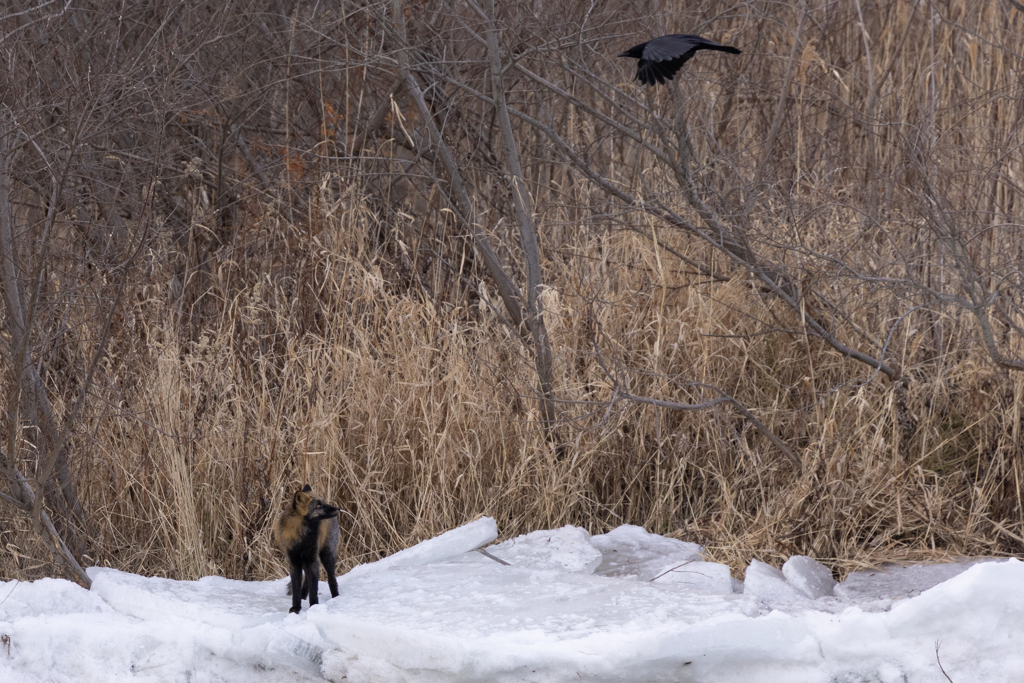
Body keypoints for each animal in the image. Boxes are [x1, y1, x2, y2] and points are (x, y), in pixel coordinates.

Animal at [274, 483, 342, 618]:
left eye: (323, 502)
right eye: (318, 505)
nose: (338, 508)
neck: (302, 538)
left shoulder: (313, 559)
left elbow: (314, 588)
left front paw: (314, 607)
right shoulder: (294, 562)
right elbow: (296, 589)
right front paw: (296, 608)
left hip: (326, 557)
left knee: (332, 579)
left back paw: (336, 597)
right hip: (306, 561)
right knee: (306, 582)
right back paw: (303, 597)